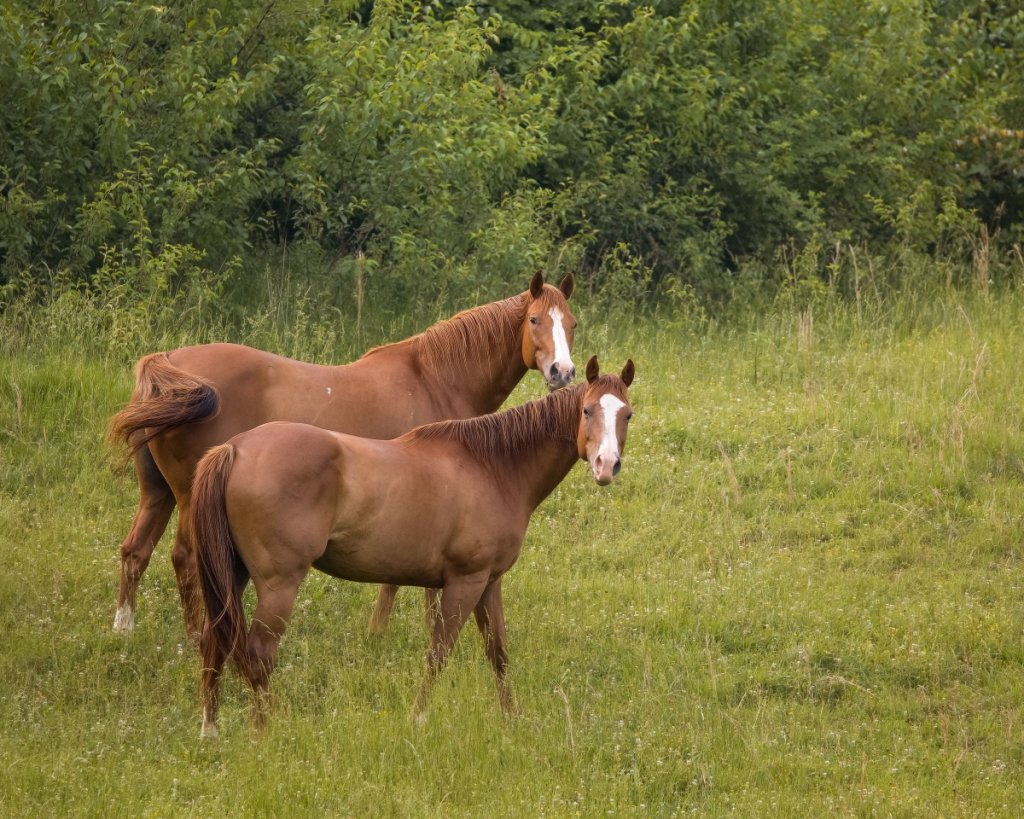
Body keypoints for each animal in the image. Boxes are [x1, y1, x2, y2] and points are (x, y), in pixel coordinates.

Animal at [108, 271, 576, 639]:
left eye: (571, 323)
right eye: (534, 319)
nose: (563, 372)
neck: (435, 378)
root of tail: (168, 363)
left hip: (158, 493)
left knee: (136, 551)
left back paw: (124, 629)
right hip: (189, 496)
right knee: (185, 559)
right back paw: (193, 636)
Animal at [191, 355, 634, 737]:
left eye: (627, 414)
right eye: (587, 411)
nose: (606, 466)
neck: (492, 467)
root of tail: (235, 449)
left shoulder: (489, 583)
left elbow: (498, 653)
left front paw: (511, 718)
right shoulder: (465, 583)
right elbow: (438, 653)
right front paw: (418, 718)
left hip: (232, 575)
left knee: (215, 640)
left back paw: (211, 728)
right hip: (279, 584)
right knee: (259, 653)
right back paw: (264, 733)